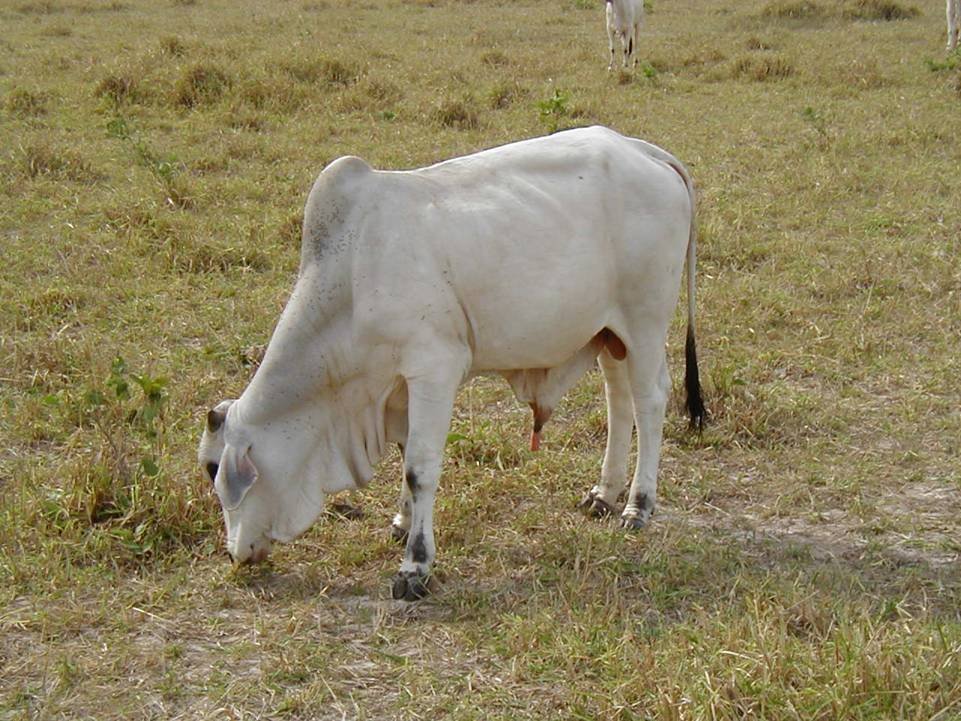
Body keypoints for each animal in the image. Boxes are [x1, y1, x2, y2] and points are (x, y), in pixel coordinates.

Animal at [197, 125, 704, 600]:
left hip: (644, 321)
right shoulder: (398, 384)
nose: (234, 553)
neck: (354, 277)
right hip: (608, 332)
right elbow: (405, 454)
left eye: (214, 470)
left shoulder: (434, 368)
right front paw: (402, 523)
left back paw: (638, 505)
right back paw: (604, 494)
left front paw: (415, 567)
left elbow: (420, 467)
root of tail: (639, 148)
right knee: (619, 400)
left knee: (649, 400)